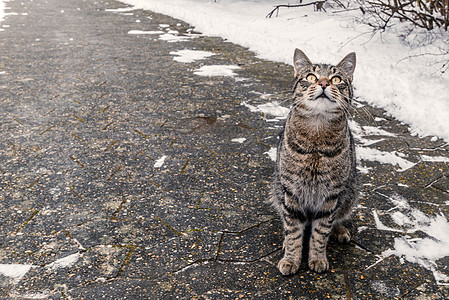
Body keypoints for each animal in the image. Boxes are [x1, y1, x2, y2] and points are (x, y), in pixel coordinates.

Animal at [270, 48, 356, 276]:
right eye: (310, 77)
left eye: (336, 79)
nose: (324, 83)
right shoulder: (290, 192)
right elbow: (293, 232)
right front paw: (291, 258)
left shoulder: (331, 195)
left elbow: (321, 232)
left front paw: (317, 258)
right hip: (277, 189)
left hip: (350, 192)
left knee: (337, 218)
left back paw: (340, 230)